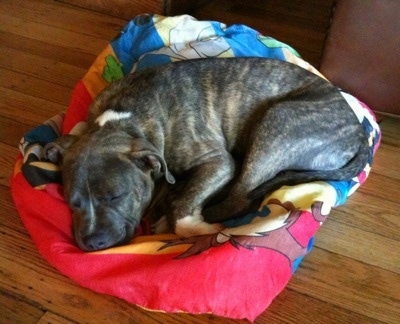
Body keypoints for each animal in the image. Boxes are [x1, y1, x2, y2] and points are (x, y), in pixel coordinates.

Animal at [44, 57, 368, 251]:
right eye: (72, 203)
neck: (125, 118)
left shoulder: (217, 162)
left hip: (277, 122)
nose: (92, 242)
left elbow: (183, 207)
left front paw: (191, 223)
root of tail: (359, 130)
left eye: (115, 196)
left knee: (239, 198)